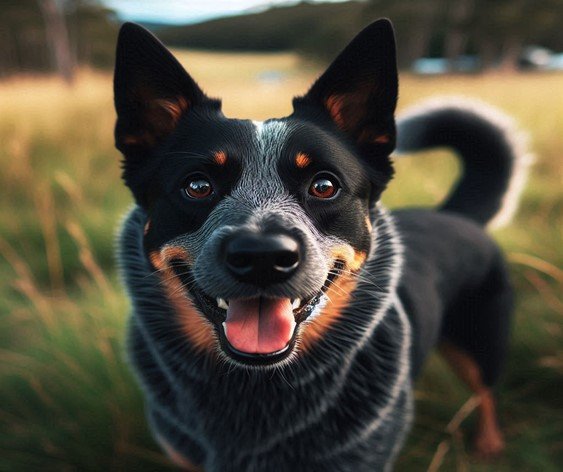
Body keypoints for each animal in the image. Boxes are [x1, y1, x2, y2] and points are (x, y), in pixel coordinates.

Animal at [113, 19, 528, 472]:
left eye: (324, 185)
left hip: (480, 341)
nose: (263, 257)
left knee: (486, 390)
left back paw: (489, 442)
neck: (254, 395)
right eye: (198, 186)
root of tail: (455, 215)